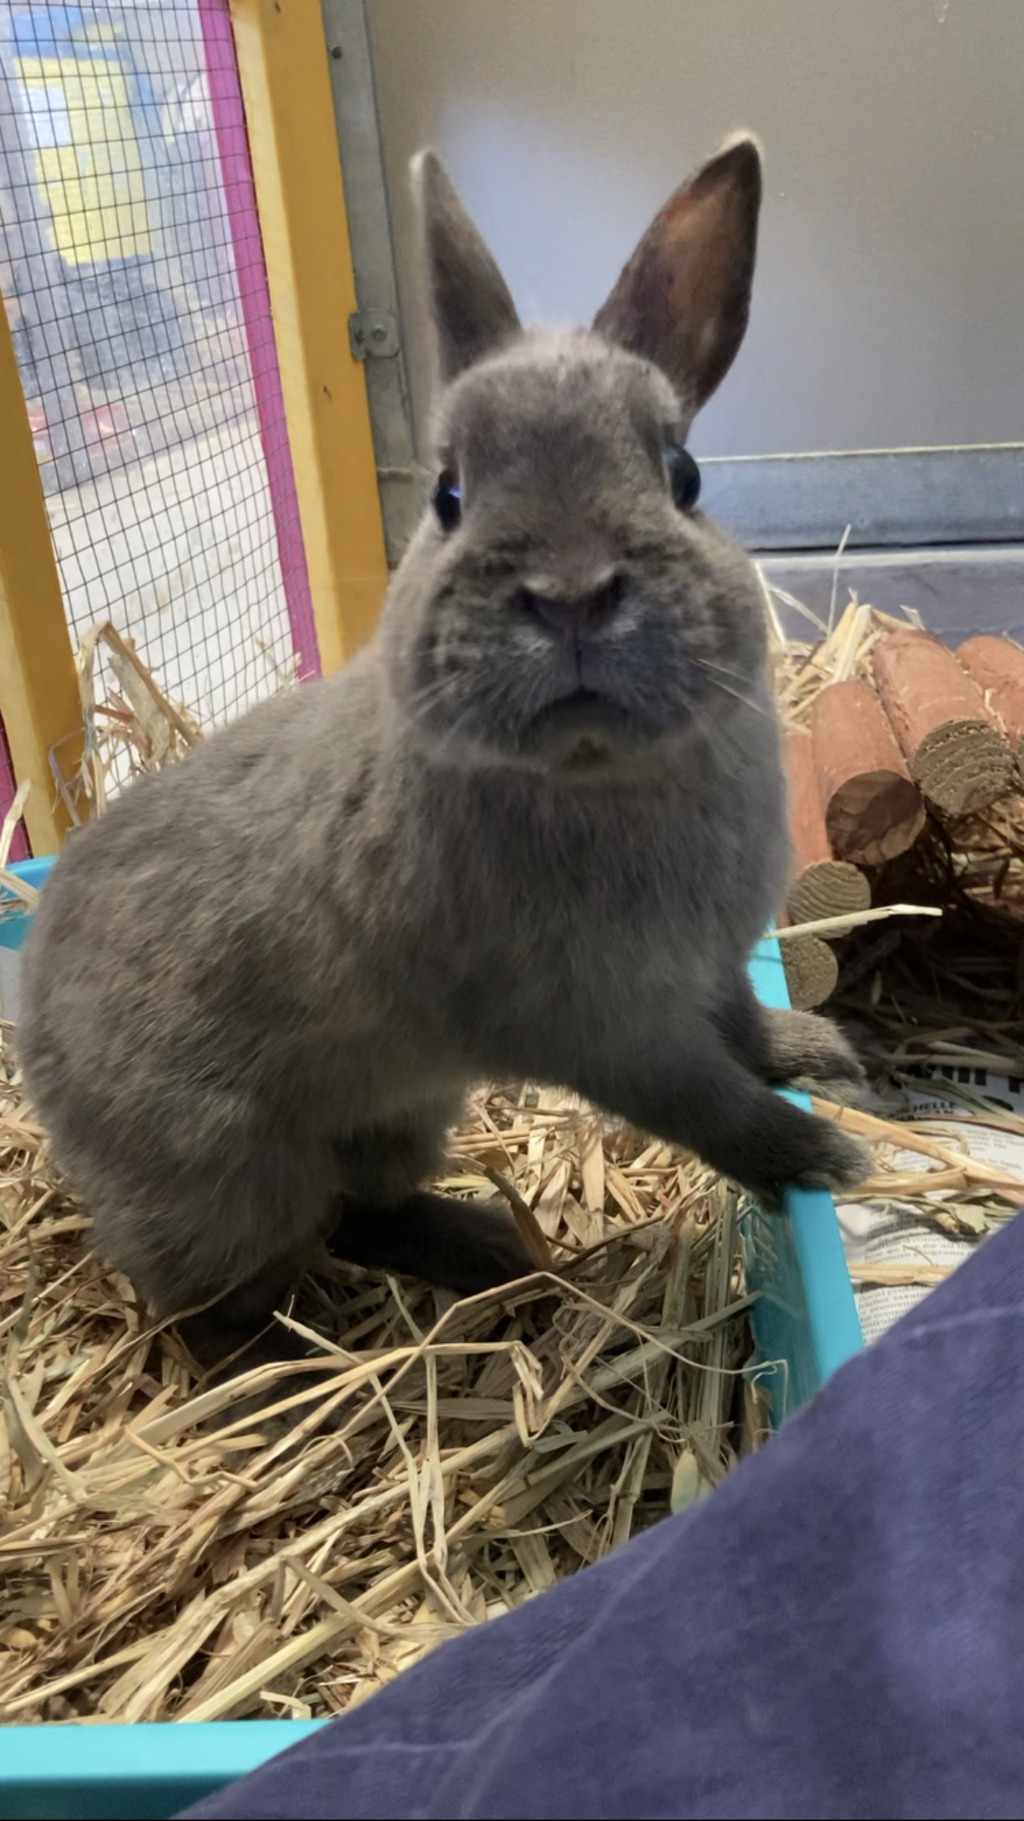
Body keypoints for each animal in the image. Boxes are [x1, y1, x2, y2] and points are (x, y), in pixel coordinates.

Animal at [19, 133, 870, 1380]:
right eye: (449, 492)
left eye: (684, 476)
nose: (571, 594)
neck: (595, 771)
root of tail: (32, 1039)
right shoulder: (606, 1031)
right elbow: (707, 1103)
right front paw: (824, 1158)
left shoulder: (703, 970)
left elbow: (742, 1034)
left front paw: (819, 1052)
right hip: (230, 1187)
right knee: (228, 1292)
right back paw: (282, 1359)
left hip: (399, 1114)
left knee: (363, 1212)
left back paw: (492, 1251)